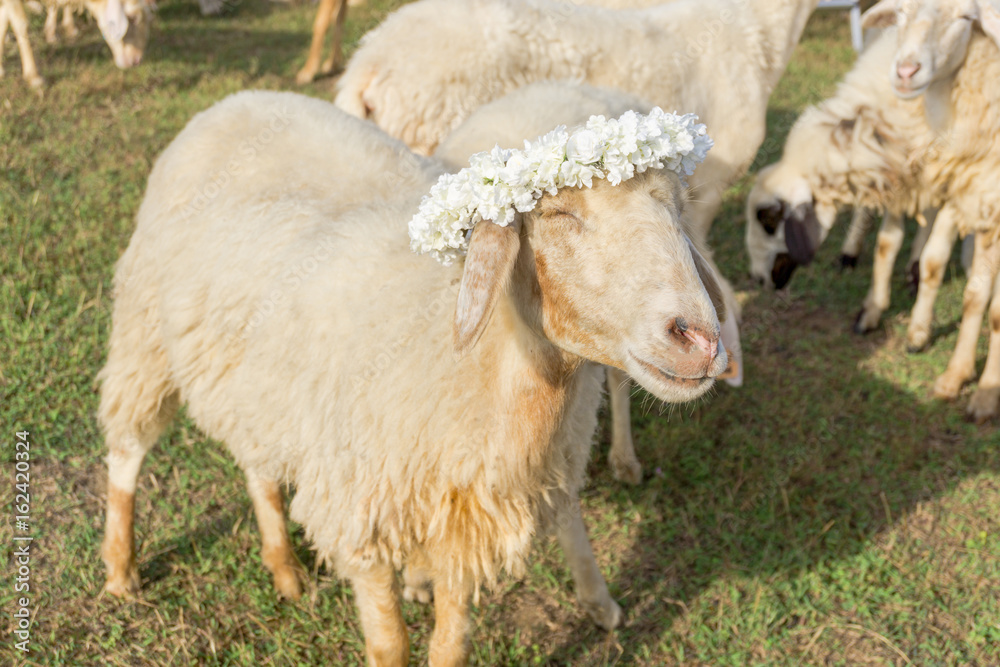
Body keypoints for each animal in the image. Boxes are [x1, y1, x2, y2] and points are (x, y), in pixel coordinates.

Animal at [99, 89, 729, 664]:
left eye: (678, 209)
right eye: (557, 214)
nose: (698, 338)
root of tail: (237, 100)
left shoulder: (459, 525)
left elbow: (450, 646)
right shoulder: (362, 515)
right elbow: (391, 646)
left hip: (256, 377)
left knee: (256, 459)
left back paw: (283, 567)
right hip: (144, 332)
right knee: (127, 449)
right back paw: (120, 568)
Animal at [744, 26, 965, 352]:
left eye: (769, 220)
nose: (757, 279)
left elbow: (935, 260)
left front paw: (918, 332)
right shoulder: (898, 175)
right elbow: (887, 244)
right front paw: (872, 311)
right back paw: (852, 253)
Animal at [862, 0, 1000, 422]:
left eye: (966, 17)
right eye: (900, 11)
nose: (906, 70)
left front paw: (986, 393)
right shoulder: (975, 198)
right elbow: (974, 296)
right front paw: (956, 377)